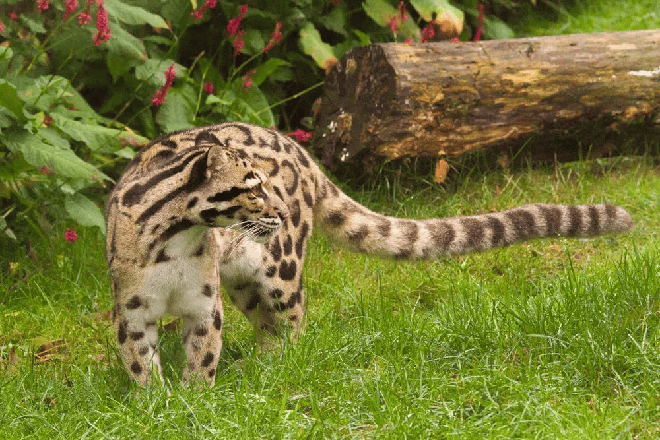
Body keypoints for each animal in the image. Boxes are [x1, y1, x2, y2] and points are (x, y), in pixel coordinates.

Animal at [104, 122, 636, 386]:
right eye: (252, 188)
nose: (278, 209)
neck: (177, 245)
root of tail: (300, 152)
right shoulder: (131, 310)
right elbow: (140, 363)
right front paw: (158, 406)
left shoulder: (204, 304)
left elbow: (204, 355)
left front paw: (197, 399)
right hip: (244, 283)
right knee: (267, 322)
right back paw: (265, 361)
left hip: (279, 269)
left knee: (293, 316)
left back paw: (283, 364)